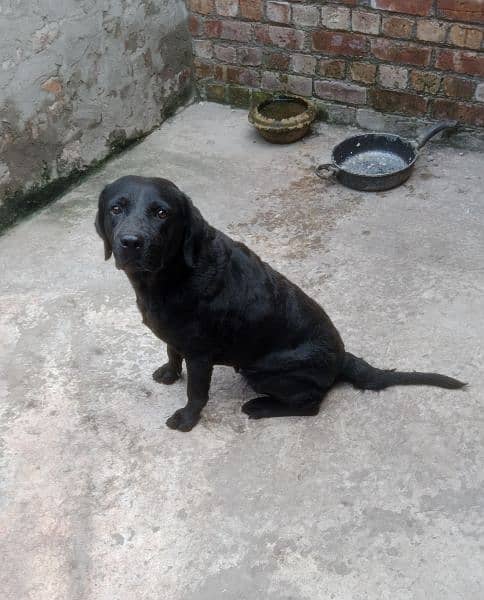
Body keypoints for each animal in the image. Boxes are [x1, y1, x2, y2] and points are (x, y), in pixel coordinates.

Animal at [95, 175, 466, 432]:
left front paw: (186, 419)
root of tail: (342, 357)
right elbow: (172, 351)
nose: (131, 242)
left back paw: (261, 407)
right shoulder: (176, 336)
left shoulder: (200, 355)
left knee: (312, 404)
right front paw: (170, 373)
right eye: (116, 208)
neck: (170, 276)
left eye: (161, 213)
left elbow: (196, 393)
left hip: (261, 370)